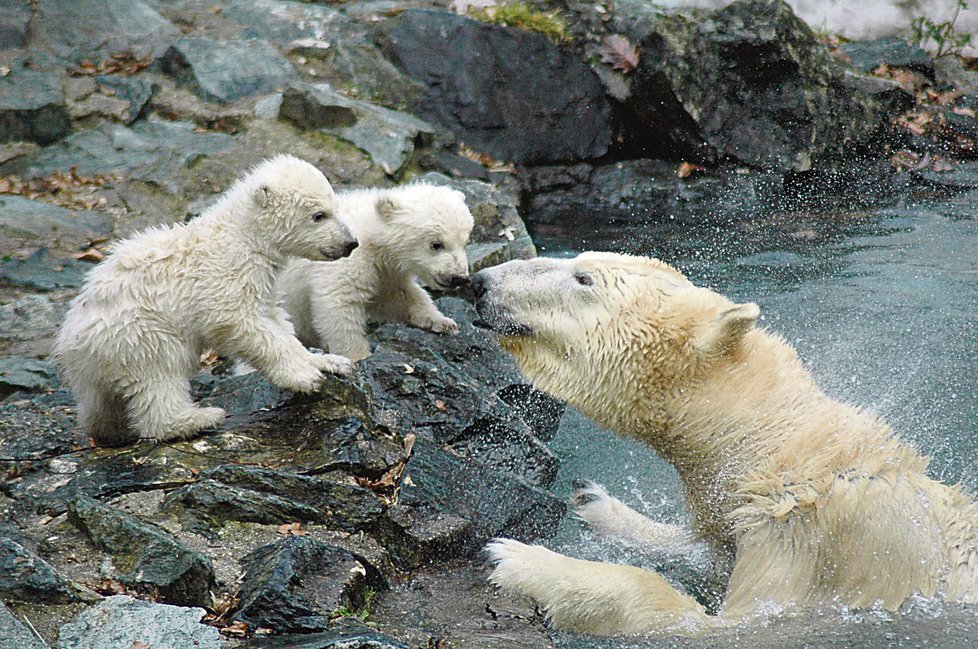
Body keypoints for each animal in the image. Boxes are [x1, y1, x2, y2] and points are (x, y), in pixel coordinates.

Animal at [470, 252, 976, 632]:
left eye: (583, 278)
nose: (480, 281)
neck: (778, 447)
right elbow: (707, 549)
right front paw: (597, 503)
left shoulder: (806, 546)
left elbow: (716, 624)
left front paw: (521, 559)